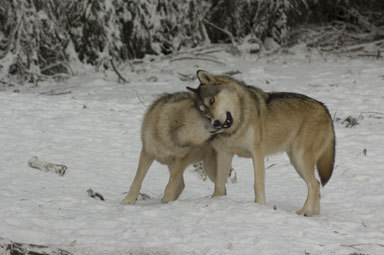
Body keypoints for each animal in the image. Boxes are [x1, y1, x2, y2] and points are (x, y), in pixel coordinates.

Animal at [188, 69, 334, 215]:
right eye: (204, 112)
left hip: (300, 159)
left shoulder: (257, 153)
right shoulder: (224, 153)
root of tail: (325, 108)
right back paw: (312, 213)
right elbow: (219, 184)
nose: (216, 123)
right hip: (296, 161)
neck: (236, 129)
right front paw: (216, 201)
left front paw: (260, 206)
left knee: (314, 184)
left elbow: (257, 184)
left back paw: (304, 211)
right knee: (317, 184)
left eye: (212, 101)